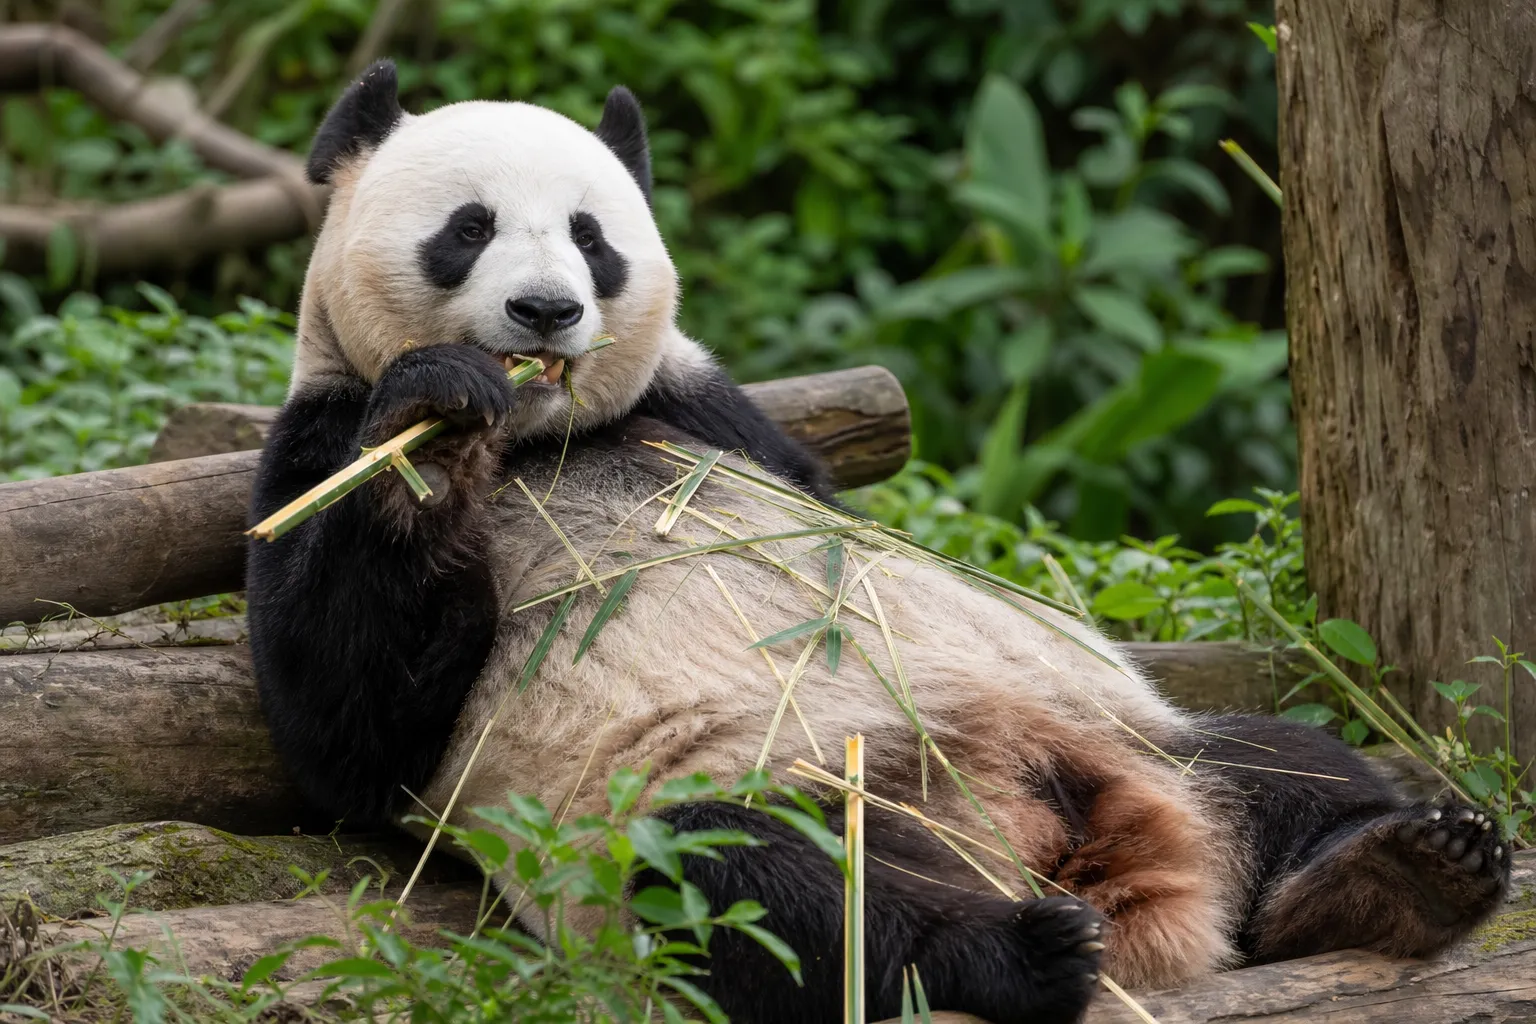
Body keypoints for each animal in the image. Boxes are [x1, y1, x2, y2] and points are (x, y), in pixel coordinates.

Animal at [246, 61, 1511, 1024]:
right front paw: (437, 417)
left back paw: (1406, 868)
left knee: (1285, 760)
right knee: (764, 889)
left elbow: (831, 509)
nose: (548, 312)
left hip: (1132, 733)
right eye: (469, 230)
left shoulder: (707, 412)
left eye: (592, 238)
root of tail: (1085, 858)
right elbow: (350, 724)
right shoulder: (316, 437)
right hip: (731, 804)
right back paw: (1019, 952)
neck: (554, 437)